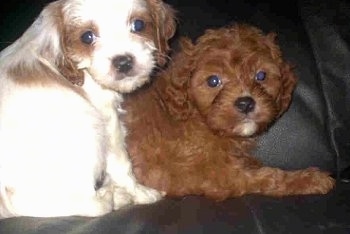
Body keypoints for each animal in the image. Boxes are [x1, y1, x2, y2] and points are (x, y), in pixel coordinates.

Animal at [0, 0, 175, 218]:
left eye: (139, 25)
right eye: (87, 37)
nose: (123, 62)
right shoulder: (108, 121)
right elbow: (122, 164)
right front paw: (141, 193)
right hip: (90, 129)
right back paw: (112, 197)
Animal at [122, 23, 334, 200]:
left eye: (261, 76)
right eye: (213, 81)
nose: (246, 103)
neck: (196, 117)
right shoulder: (215, 175)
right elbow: (268, 176)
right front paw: (310, 179)